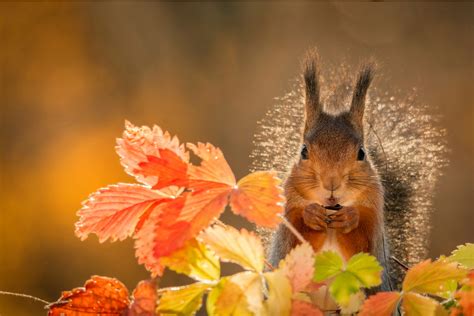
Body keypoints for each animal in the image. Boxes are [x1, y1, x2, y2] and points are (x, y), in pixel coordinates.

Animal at [260, 48, 448, 296]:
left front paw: (350, 218)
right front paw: (311, 215)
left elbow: (364, 247)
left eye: (361, 153)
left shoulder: (374, 216)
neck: (331, 209)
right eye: (303, 151)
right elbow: (294, 244)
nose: (331, 183)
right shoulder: (288, 213)